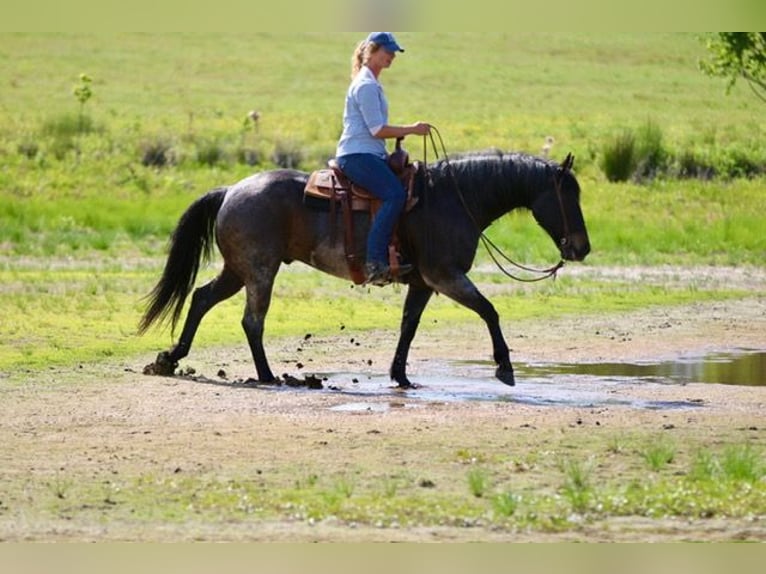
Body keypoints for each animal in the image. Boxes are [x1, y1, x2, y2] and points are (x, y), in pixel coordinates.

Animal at [138, 148, 590, 388]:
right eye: (568, 197)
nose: (582, 248)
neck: (453, 199)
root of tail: (232, 189)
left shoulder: (423, 283)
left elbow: (409, 326)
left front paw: (401, 376)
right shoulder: (446, 276)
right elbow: (490, 311)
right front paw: (504, 367)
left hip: (238, 270)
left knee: (201, 299)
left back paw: (169, 358)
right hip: (260, 270)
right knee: (252, 320)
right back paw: (267, 375)